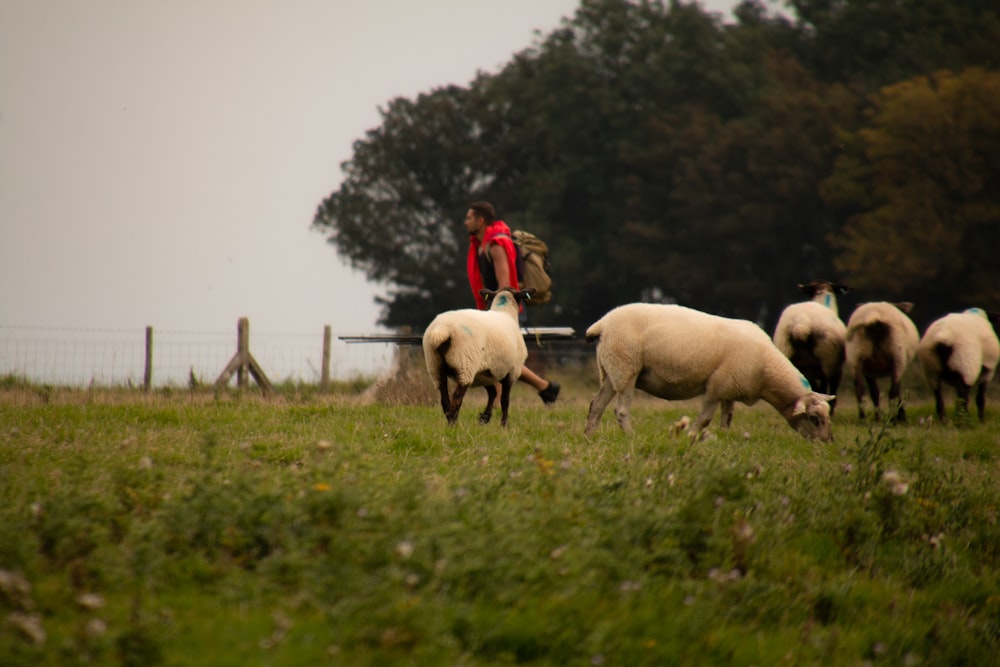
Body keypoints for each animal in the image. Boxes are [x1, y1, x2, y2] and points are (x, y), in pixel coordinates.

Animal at [420, 288, 536, 428]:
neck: (505, 312)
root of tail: (442, 330)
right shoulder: (512, 371)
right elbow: (504, 400)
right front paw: (504, 425)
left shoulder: (483, 374)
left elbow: (493, 392)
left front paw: (484, 417)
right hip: (465, 364)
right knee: (457, 397)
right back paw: (453, 424)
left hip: (435, 366)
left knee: (444, 398)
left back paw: (451, 422)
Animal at [584, 304, 840, 444]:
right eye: (814, 418)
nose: (828, 442)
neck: (768, 374)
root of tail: (603, 323)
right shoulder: (717, 386)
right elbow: (706, 418)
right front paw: (690, 437)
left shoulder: (731, 388)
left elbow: (727, 418)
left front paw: (723, 438)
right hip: (627, 367)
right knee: (620, 409)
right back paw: (630, 435)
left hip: (612, 369)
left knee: (596, 404)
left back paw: (590, 434)